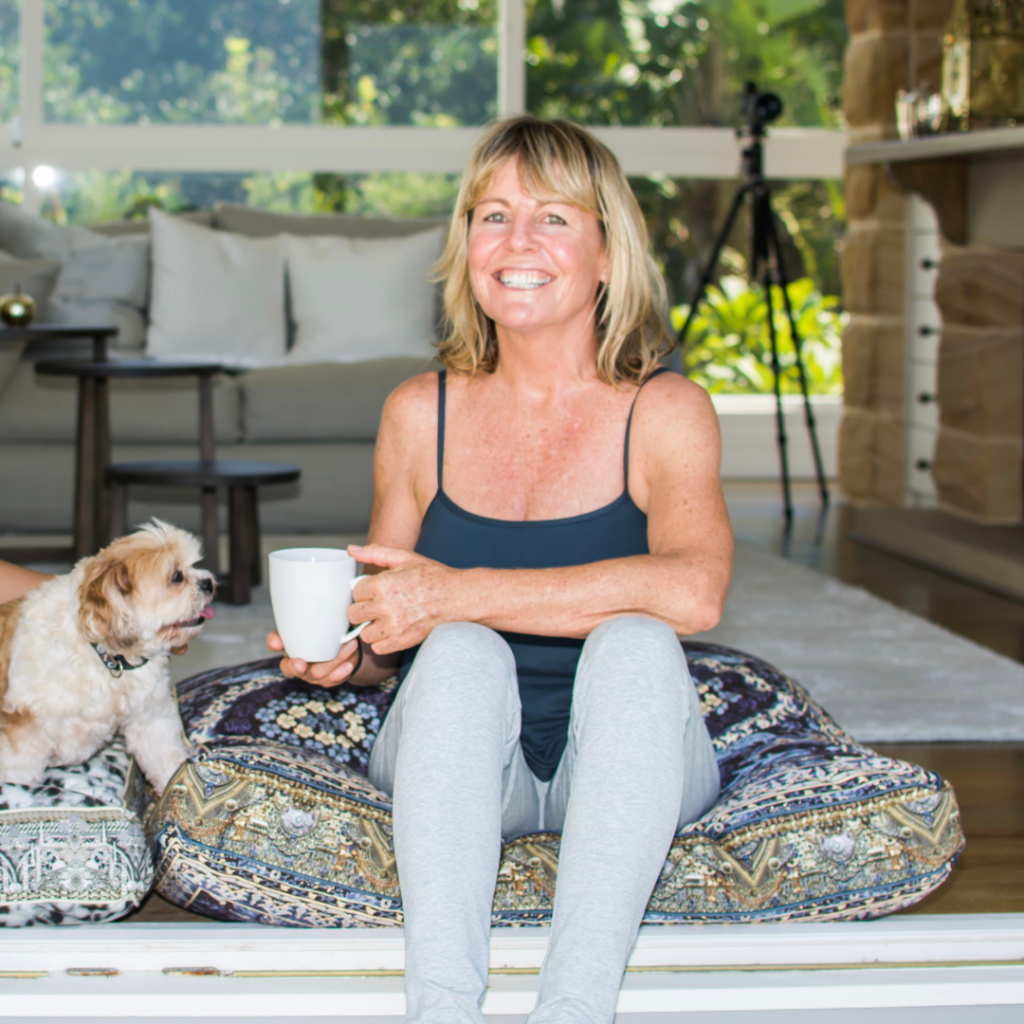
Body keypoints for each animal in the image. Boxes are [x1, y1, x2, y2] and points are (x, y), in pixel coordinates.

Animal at [0, 524, 214, 794]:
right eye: (177, 576)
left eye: (194, 565)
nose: (208, 582)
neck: (106, 657)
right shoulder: (26, 733)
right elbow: (19, 777)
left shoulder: (152, 717)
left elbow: (168, 762)